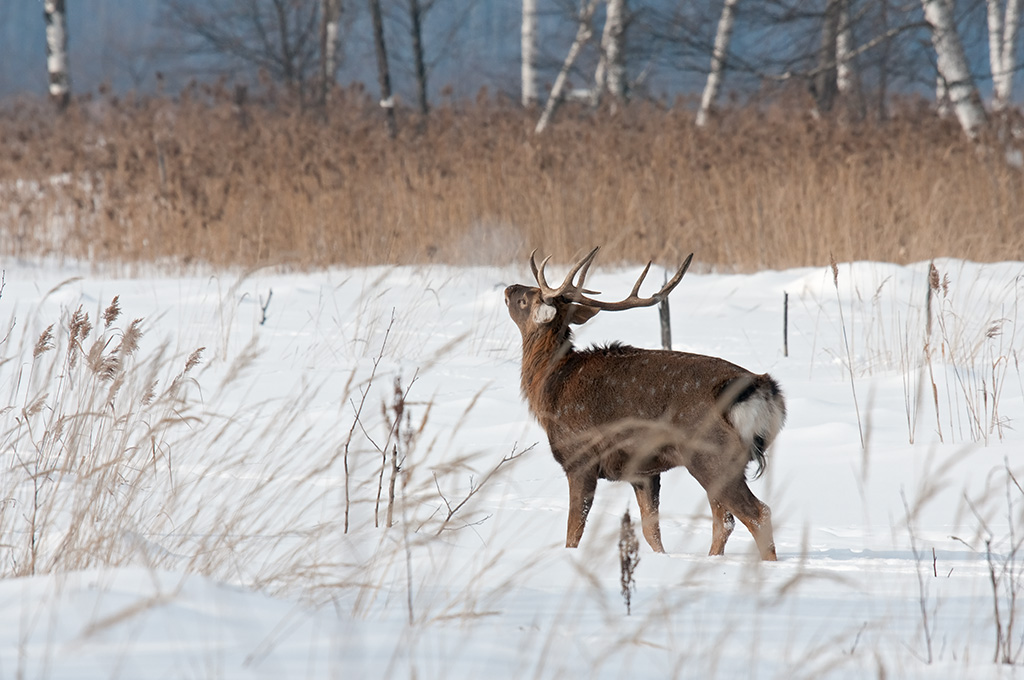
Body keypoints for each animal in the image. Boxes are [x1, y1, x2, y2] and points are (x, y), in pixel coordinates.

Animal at [503, 246, 782, 561]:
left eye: (527, 298)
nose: (509, 287)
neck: (551, 386)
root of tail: (762, 387)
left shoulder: (580, 458)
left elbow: (573, 533)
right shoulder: (643, 472)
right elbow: (652, 533)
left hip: (712, 455)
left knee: (757, 513)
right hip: (724, 461)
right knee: (724, 520)